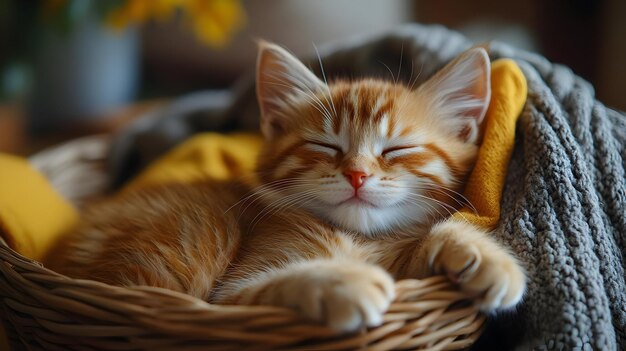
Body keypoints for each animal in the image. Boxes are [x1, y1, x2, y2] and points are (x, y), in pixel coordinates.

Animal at [51, 42, 524, 332]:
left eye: (397, 149)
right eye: (325, 145)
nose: (357, 174)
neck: (360, 240)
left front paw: (481, 253)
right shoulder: (227, 302)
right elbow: (281, 283)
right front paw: (341, 282)